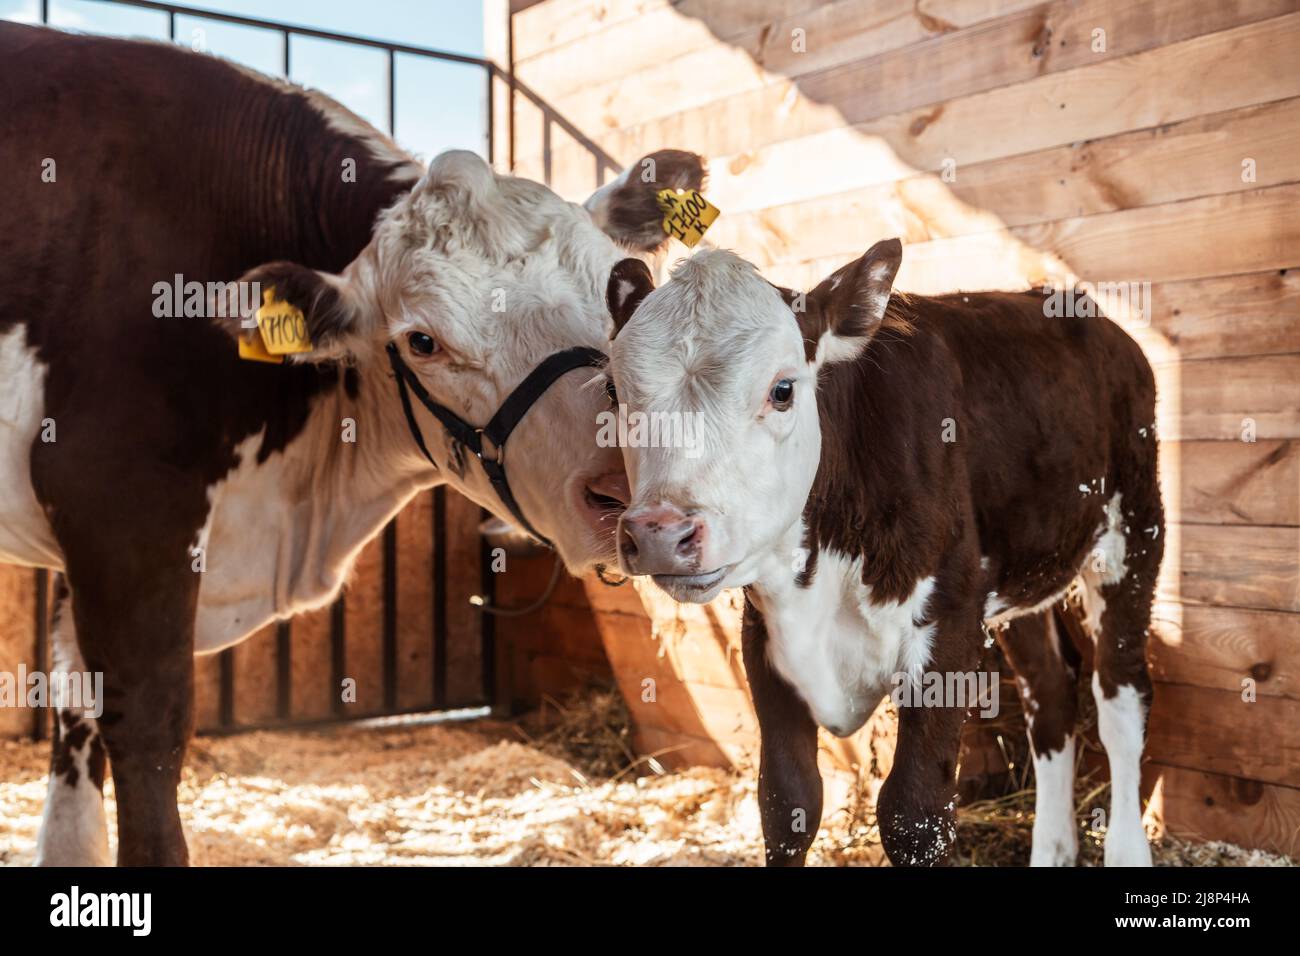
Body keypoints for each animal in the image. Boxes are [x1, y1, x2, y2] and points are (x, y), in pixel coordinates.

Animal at [0, 21, 703, 865]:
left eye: (623, 287)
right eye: (423, 340)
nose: (629, 489)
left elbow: (72, 703)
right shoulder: (118, 506)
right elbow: (145, 725)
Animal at [603, 241, 1162, 867]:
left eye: (782, 389)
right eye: (614, 392)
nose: (659, 532)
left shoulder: (950, 626)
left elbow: (914, 817)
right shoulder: (764, 637)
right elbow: (786, 803)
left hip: (1133, 532)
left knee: (1121, 698)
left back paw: (1127, 847)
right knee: (1050, 694)